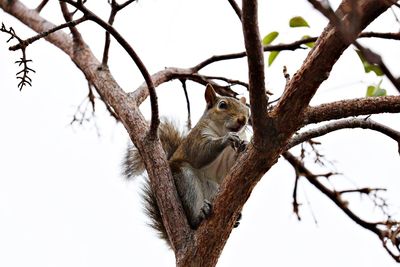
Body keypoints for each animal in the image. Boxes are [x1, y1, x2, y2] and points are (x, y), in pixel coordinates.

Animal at [123, 84, 248, 247]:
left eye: (247, 110)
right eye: (222, 105)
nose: (243, 119)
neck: (221, 130)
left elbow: (231, 169)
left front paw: (244, 145)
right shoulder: (195, 139)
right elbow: (201, 153)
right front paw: (226, 139)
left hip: (214, 188)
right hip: (185, 179)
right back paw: (199, 216)